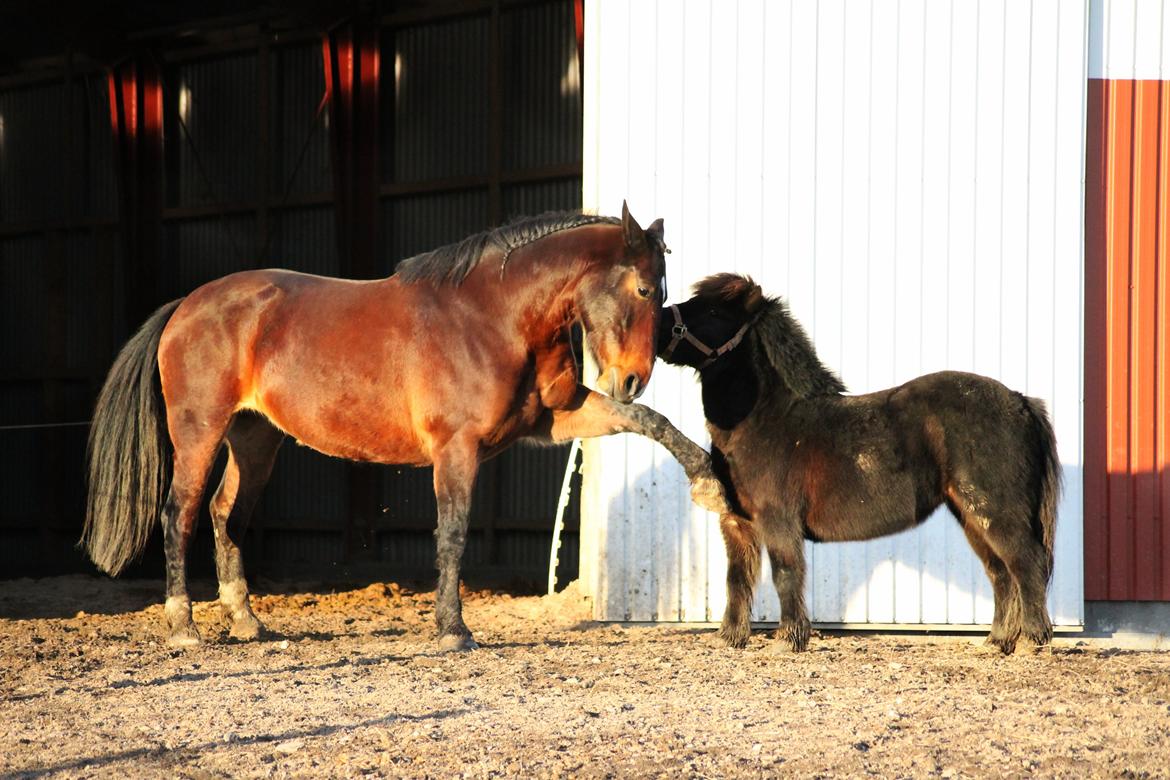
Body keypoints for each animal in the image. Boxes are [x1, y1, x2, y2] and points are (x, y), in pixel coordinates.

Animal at [82, 204, 725, 650]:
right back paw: (183, 626)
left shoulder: (555, 418)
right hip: (201, 432)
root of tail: (186, 306)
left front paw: (710, 482)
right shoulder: (456, 448)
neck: (492, 317)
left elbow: (649, 421)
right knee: (181, 513)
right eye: (642, 288)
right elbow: (454, 533)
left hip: (254, 438)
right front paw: (453, 630)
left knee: (225, 515)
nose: (631, 378)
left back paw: (246, 621)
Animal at [659, 274, 1062, 654]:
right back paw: (998, 642)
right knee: (1001, 573)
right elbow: (737, 578)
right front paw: (731, 637)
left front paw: (789, 639)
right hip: (971, 516)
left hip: (995, 511)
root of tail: (1021, 401)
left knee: (1027, 563)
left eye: (714, 312)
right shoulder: (737, 522)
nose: (660, 323)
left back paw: (1032, 641)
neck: (765, 419)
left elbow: (786, 574)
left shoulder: (778, 520)